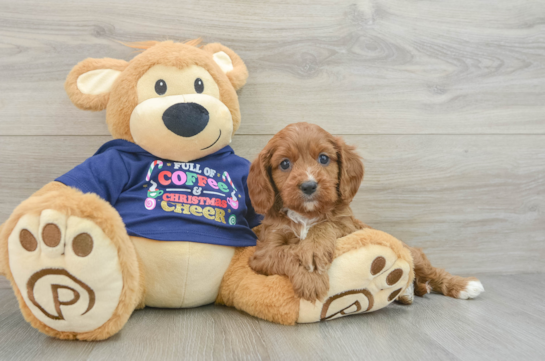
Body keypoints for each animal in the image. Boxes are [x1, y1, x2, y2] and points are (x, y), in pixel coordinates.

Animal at [246, 122, 480, 302]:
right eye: (285, 164)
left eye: (323, 158)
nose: (309, 186)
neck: (307, 214)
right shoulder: (263, 253)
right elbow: (286, 253)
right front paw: (310, 278)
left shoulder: (349, 227)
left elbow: (326, 224)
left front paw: (312, 249)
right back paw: (408, 292)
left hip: (412, 253)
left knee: (430, 270)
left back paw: (464, 286)